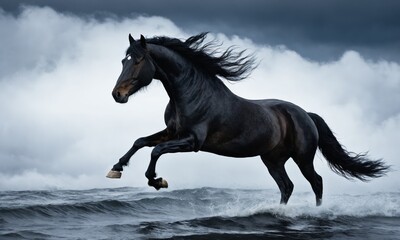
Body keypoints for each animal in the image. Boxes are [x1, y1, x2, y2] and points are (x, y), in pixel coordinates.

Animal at [108, 32, 390, 205]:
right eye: (123, 60)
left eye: (139, 61)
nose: (117, 95)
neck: (191, 94)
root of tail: (305, 114)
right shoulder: (172, 132)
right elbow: (141, 141)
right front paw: (116, 169)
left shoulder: (192, 142)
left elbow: (156, 151)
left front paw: (157, 181)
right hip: (273, 160)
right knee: (287, 186)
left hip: (302, 157)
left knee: (316, 182)